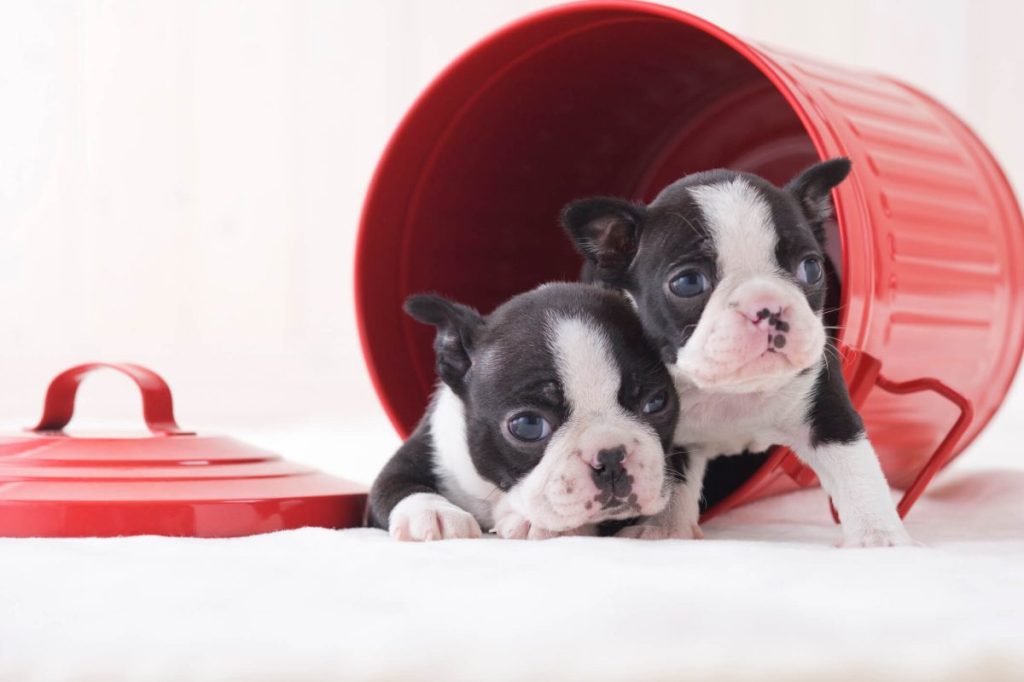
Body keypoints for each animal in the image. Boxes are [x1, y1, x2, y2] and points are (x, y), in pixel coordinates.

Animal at [364, 280, 684, 536]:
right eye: (528, 425)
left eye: (656, 402)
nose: (611, 456)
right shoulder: (422, 450)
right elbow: (394, 485)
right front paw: (434, 513)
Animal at [565, 159, 917, 548]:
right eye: (688, 282)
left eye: (811, 267)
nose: (767, 306)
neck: (733, 391)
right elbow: (673, 479)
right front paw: (664, 530)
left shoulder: (825, 406)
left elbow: (856, 469)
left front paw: (879, 537)